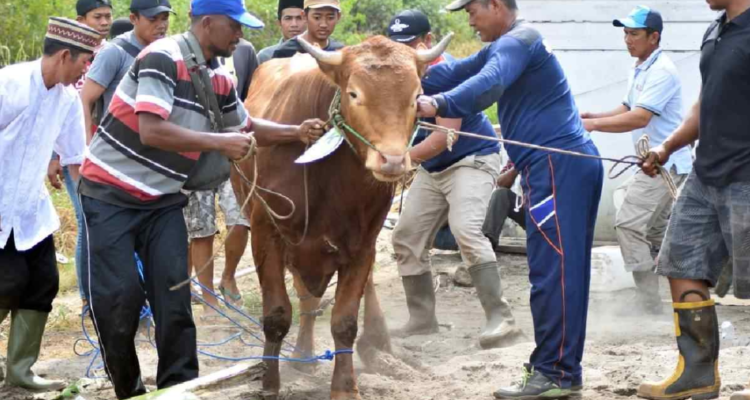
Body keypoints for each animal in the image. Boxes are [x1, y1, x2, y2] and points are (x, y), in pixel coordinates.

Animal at [232, 35, 450, 400]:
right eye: (354, 93)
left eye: (415, 96)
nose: (392, 160)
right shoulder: (267, 234)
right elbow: (277, 315)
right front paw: (269, 383)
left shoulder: (363, 245)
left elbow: (344, 321)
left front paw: (346, 387)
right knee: (306, 299)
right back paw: (302, 355)